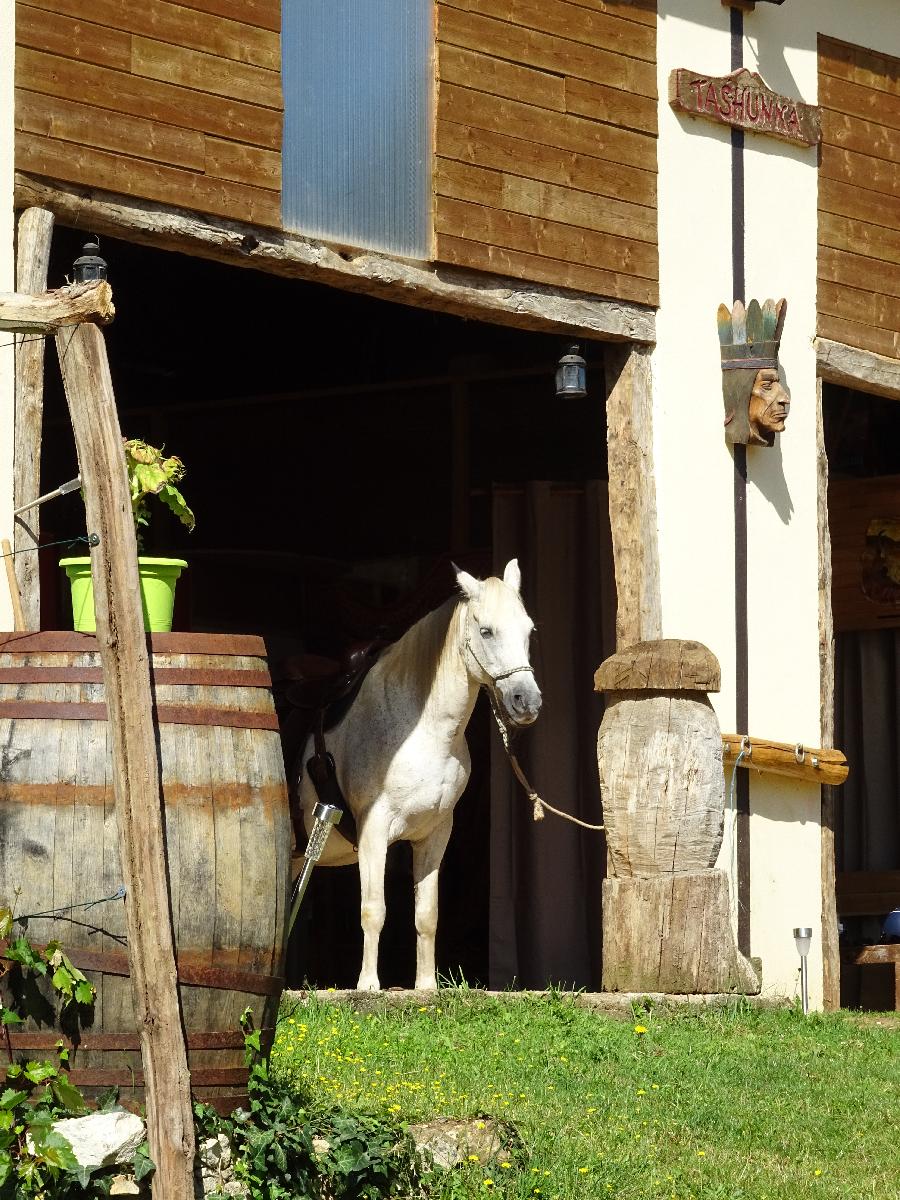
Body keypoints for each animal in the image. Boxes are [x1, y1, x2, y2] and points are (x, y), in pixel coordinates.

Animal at [296, 561, 542, 993]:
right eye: (486, 631)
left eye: (528, 630)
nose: (526, 702)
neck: (422, 731)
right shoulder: (374, 831)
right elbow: (374, 910)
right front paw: (368, 986)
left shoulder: (434, 833)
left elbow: (427, 915)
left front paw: (426, 986)